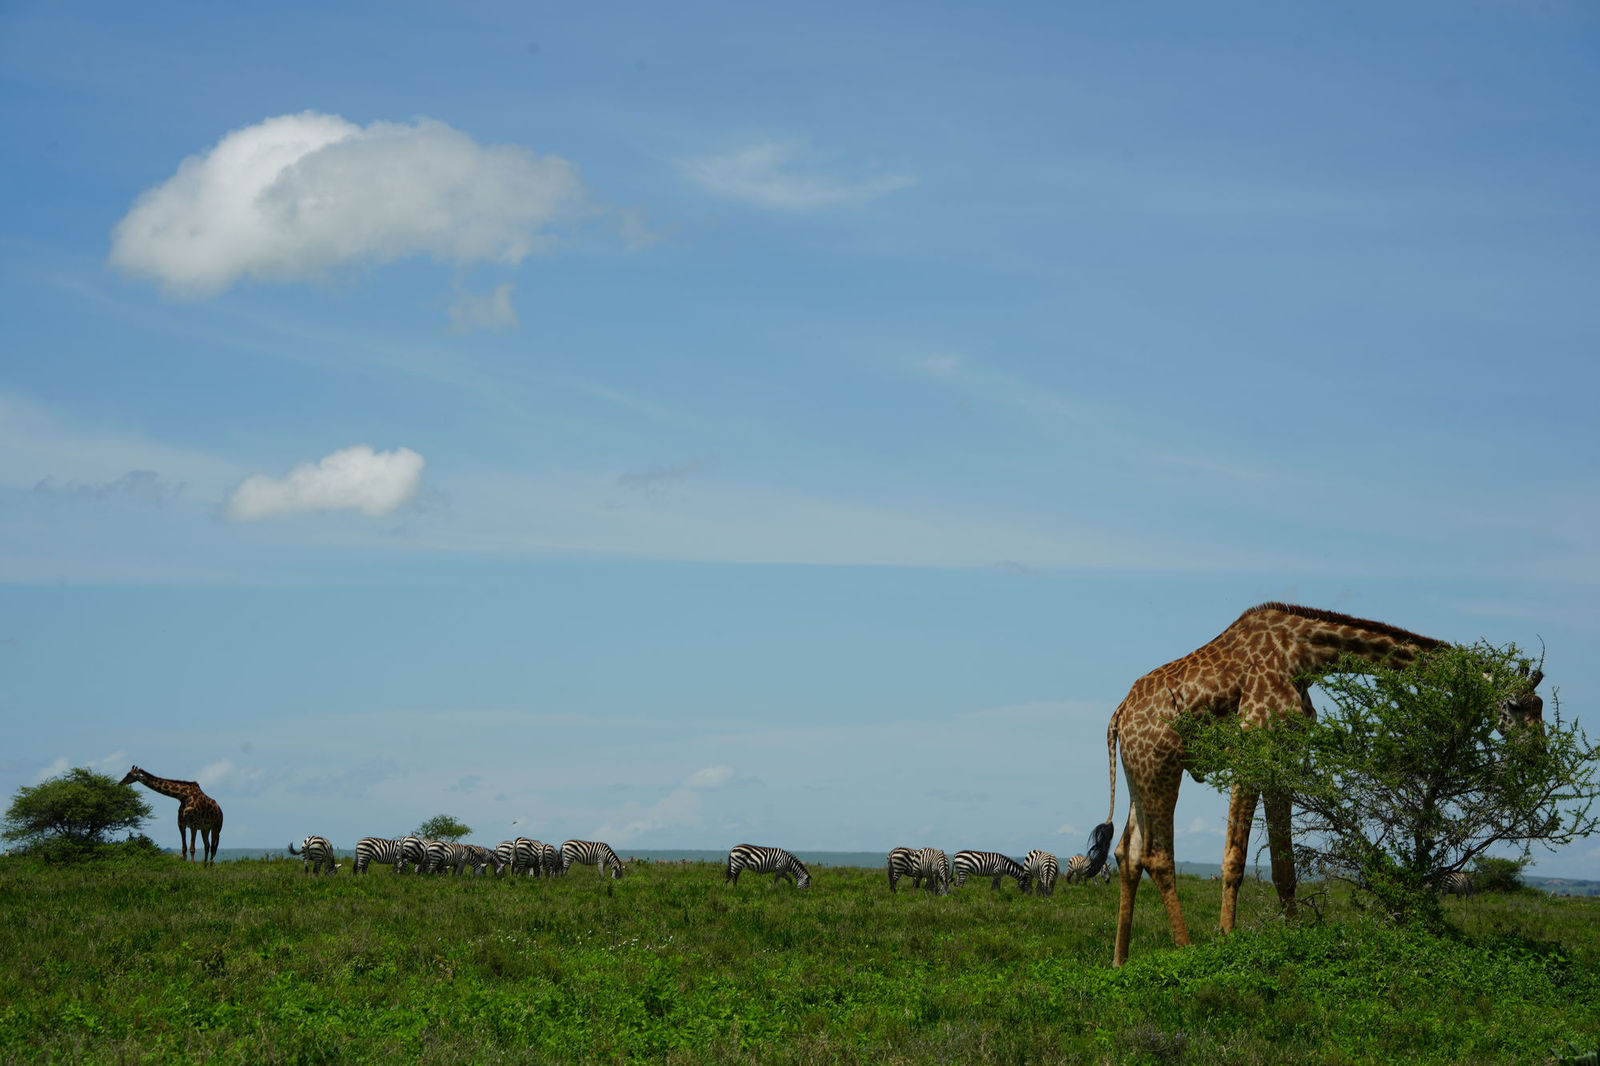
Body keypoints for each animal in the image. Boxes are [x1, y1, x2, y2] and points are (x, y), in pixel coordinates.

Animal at [1080, 602, 1542, 968]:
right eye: (1516, 705)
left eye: (1541, 704)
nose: (1536, 752)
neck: (1304, 656)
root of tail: (1118, 716)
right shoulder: (1254, 745)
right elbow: (1234, 859)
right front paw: (1225, 942)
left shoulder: (1283, 753)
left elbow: (1284, 867)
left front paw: (1295, 938)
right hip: (1162, 767)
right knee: (1157, 856)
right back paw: (1185, 949)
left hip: (1139, 774)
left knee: (1127, 853)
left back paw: (1120, 962)